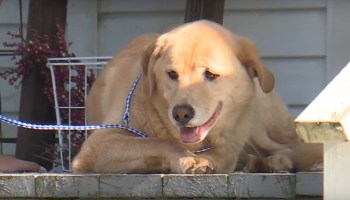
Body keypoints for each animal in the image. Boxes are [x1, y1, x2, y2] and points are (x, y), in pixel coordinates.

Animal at [72, 20, 322, 173]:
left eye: (210, 74)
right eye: (172, 74)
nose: (181, 113)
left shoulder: (230, 145)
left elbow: (222, 153)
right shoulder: (97, 144)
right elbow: (157, 141)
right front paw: (188, 158)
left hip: (265, 125)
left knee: (294, 146)